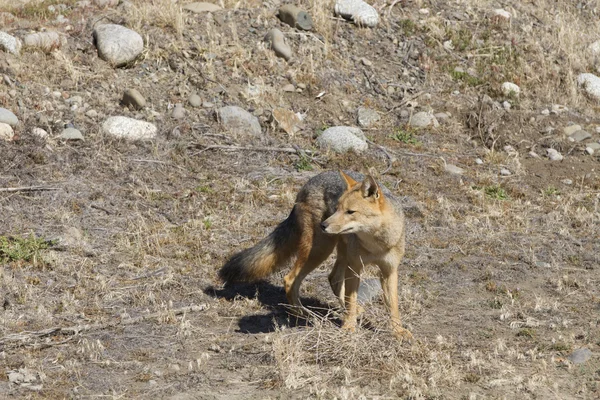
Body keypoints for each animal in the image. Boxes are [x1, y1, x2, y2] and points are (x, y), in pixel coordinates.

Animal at [220, 170, 412, 340]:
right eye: (338, 208)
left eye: (350, 212)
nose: (323, 225)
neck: (376, 245)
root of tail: (309, 182)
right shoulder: (355, 267)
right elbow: (351, 299)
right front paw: (349, 327)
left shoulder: (389, 271)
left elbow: (393, 305)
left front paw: (397, 331)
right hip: (320, 250)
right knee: (290, 279)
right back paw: (302, 314)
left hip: (337, 252)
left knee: (333, 278)